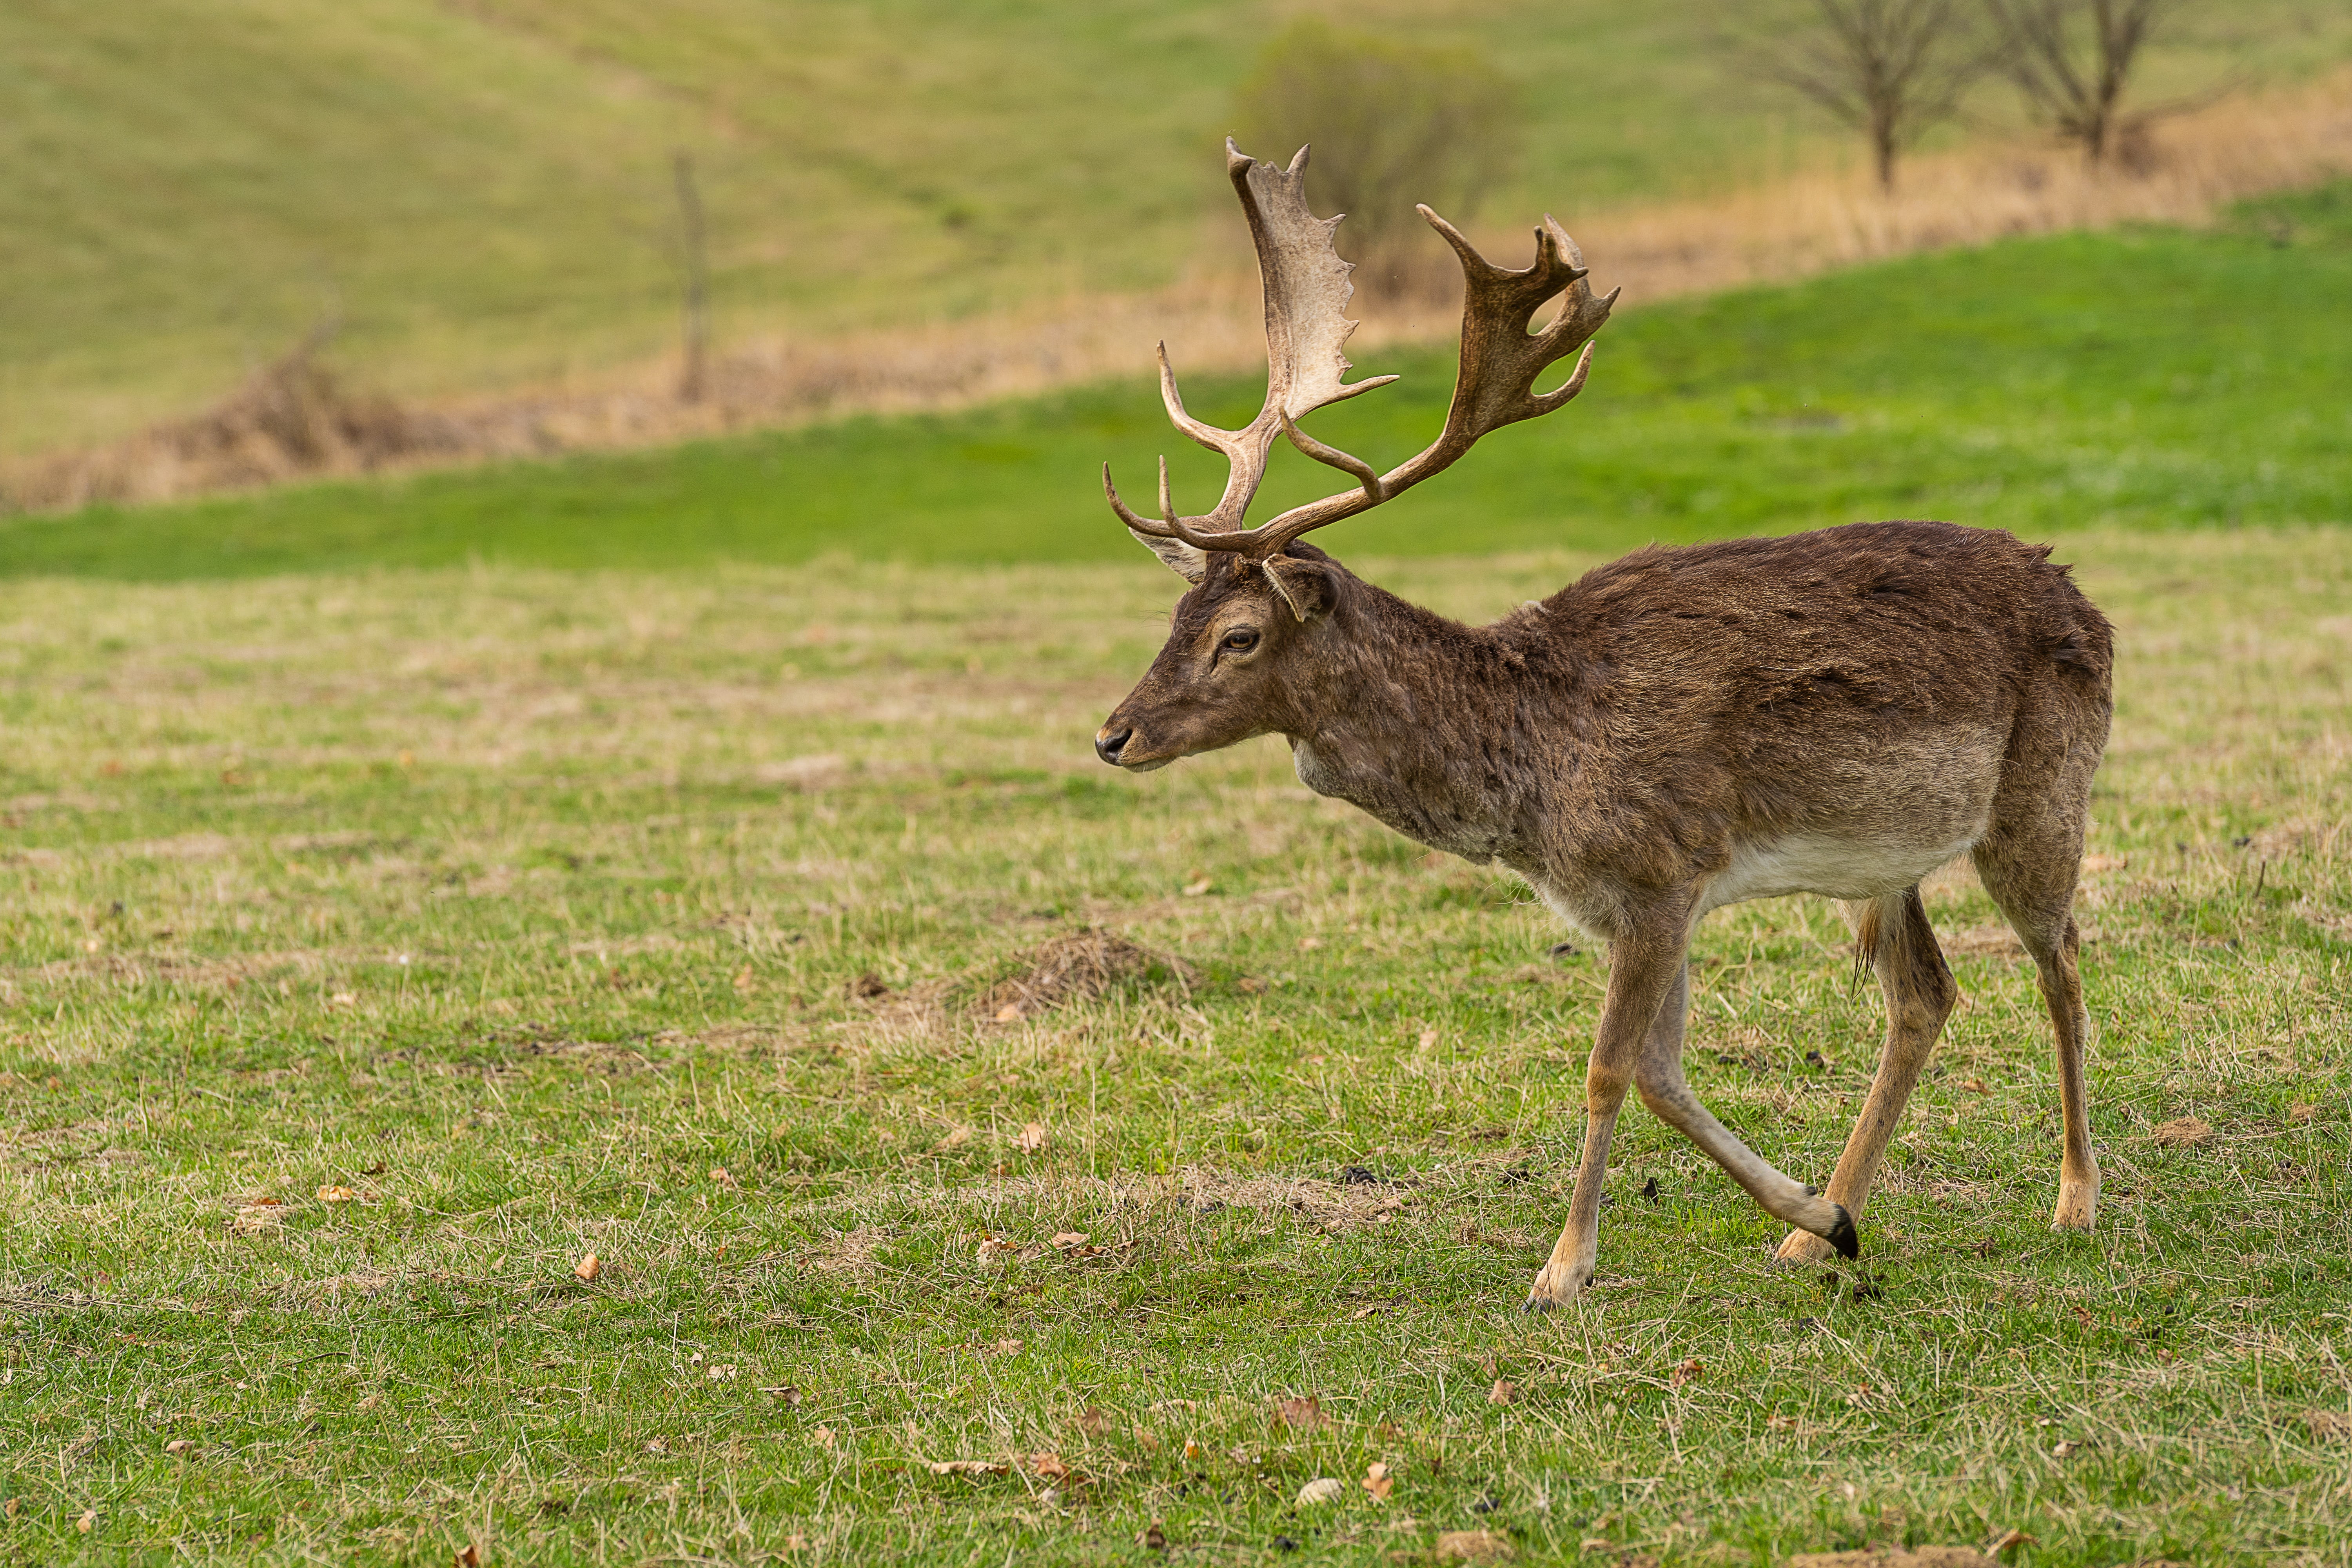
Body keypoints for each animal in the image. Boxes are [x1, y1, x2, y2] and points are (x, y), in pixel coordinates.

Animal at [1091, 142, 2112, 1309]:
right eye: (1176, 617)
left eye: (1241, 636)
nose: (1114, 735)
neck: (1535, 783)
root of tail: (2086, 600)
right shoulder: (1643, 902)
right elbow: (1663, 1074)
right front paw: (1824, 1219)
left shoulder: (1664, 868)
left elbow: (1610, 1068)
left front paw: (1563, 1266)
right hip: (1887, 858)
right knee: (1926, 995)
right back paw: (1818, 1236)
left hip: (2042, 793)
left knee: (2062, 957)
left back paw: (2077, 1196)